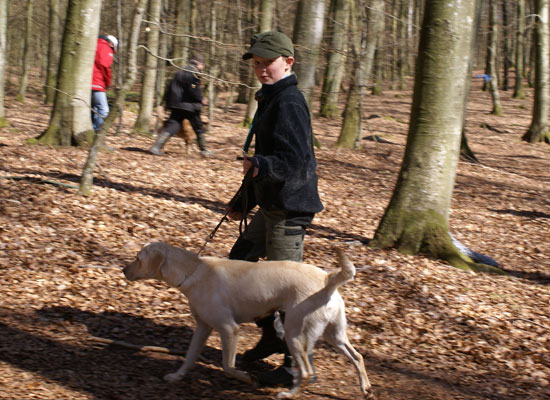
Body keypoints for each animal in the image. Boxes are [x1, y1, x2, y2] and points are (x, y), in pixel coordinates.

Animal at [124, 242, 376, 398]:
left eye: (138, 258)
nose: (123, 270)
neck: (193, 271)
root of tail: (328, 279)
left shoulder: (229, 329)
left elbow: (228, 366)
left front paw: (247, 378)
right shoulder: (203, 328)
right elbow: (189, 357)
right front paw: (176, 376)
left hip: (294, 335)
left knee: (305, 372)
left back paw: (287, 394)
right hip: (334, 335)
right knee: (358, 357)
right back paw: (365, 388)